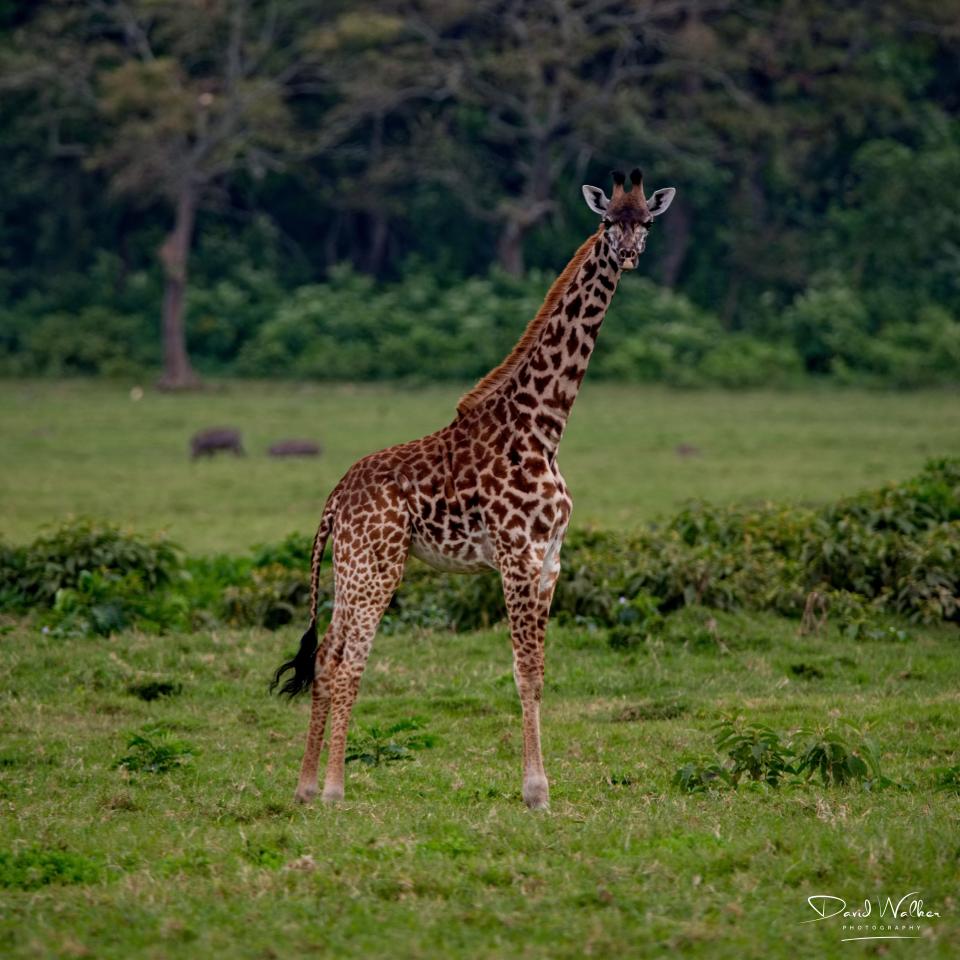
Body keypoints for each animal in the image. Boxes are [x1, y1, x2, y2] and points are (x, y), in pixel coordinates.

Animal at [272, 168, 676, 809]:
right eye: (609, 220)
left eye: (647, 221)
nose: (630, 253)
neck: (544, 427)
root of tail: (333, 500)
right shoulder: (516, 555)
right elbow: (523, 671)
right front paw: (536, 792)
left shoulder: (551, 560)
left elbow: (540, 672)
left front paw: (540, 787)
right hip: (378, 563)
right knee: (349, 659)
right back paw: (335, 790)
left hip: (350, 565)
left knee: (330, 652)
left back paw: (307, 788)